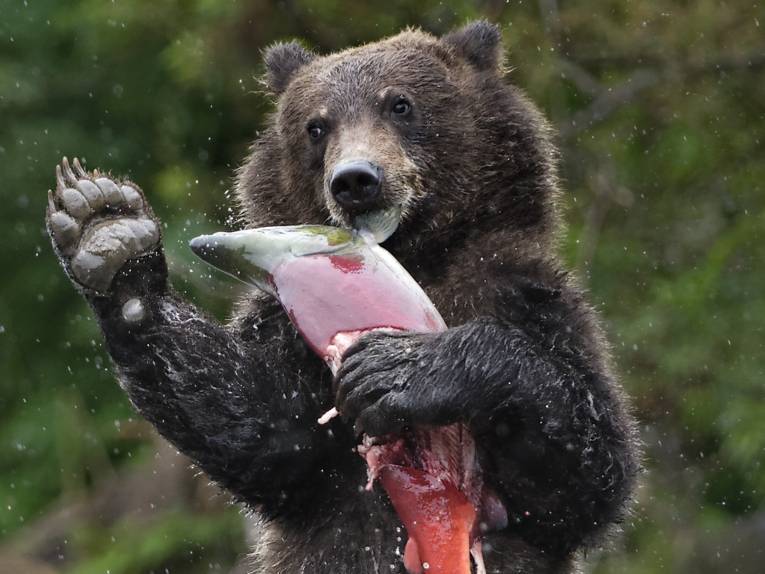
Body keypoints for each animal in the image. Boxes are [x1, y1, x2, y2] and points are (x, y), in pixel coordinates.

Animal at [45, 21, 640, 574]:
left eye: (400, 103)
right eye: (317, 125)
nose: (355, 179)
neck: (417, 257)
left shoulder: (524, 293)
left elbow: (587, 470)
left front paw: (397, 369)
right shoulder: (281, 334)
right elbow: (262, 427)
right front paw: (107, 230)